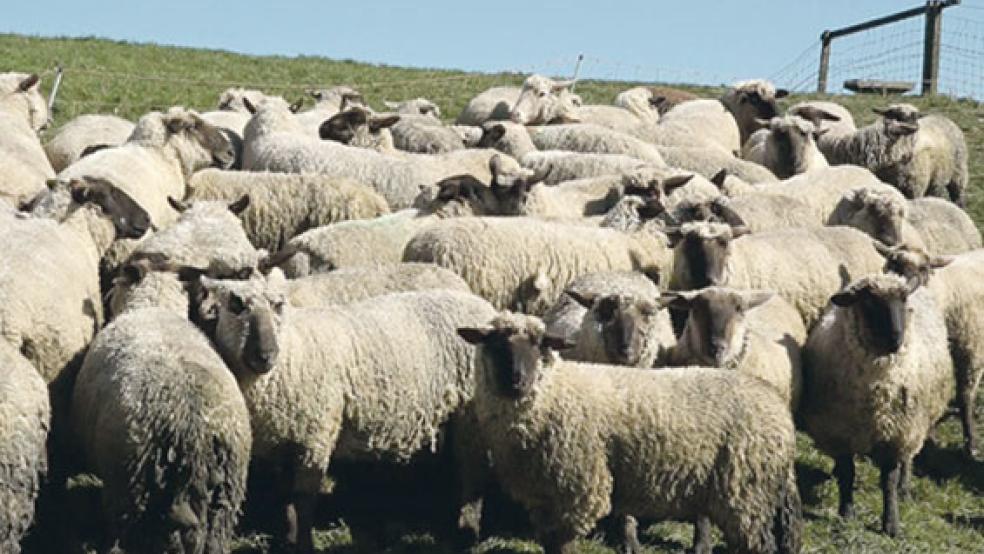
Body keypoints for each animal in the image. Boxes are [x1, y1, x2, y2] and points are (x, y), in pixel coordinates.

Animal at [198, 273, 498, 553]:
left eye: (278, 305)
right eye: (235, 304)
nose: (265, 355)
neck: (294, 352)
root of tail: (485, 308)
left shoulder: (316, 436)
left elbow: (303, 500)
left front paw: (304, 545)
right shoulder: (282, 442)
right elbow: (286, 500)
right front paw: (287, 541)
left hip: (471, 416)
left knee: (472, 476)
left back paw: (465, 534)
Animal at [458, 312, 802, 554]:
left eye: (540, 345)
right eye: (495, 344)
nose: (517, 381)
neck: (555, 393)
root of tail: (777, 406)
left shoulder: (580, 489)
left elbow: (563, 545)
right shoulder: (542, 495)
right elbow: (550, 543)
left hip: (745, 490)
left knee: (758, 546)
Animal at [801, 274, 953, 536]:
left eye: (903, 300)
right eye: (870, 302)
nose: (896, 339)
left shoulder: (895, 434)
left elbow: (888, 480)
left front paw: (891, 524)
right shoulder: (839, 432)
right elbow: (847, 473)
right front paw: (846, 513)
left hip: (914, 427)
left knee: (908, 459)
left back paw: (905, 488)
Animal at [820, 104, 968, 205]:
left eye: (915, 116)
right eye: (897, 115)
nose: (914, 127)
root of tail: (943, 118)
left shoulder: (915, 187)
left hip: (958, 173)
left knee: (957, 196)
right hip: (938, 179)